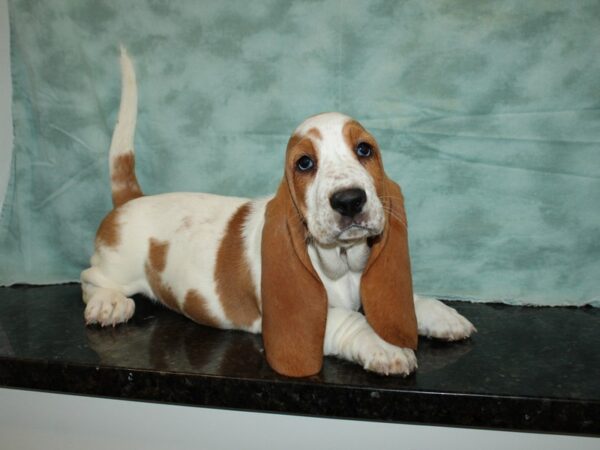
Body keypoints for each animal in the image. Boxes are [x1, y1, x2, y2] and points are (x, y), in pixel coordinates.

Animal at [79, 48, 476, 376]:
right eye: (304, 163)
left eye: (365, 150)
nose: (349, 200)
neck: (342, 264)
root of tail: (131, 199)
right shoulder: (304, 317)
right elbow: (350, 321)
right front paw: (386, 347)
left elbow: (404, 300)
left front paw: (440, 315)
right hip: (117, 267)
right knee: (90, 278)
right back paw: (108, 304)